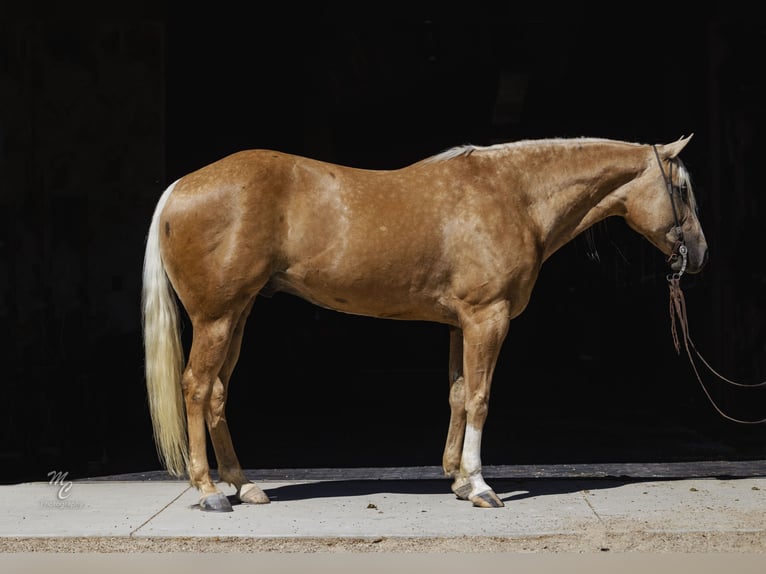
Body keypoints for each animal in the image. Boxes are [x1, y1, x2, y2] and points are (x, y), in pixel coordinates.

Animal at [142, 135, 708, 511]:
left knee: (217, 393)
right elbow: (479, 397)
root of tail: (180, 187)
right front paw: (480, 487)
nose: (699, 254)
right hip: (217, 317)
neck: (513, 194)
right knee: (196, 388)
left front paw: (456, 480)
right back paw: (210, 491)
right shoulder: (487, 318)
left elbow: (457, 394)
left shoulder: (460, 323)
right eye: (681, 188)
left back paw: (245, 485)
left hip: (238, 315)